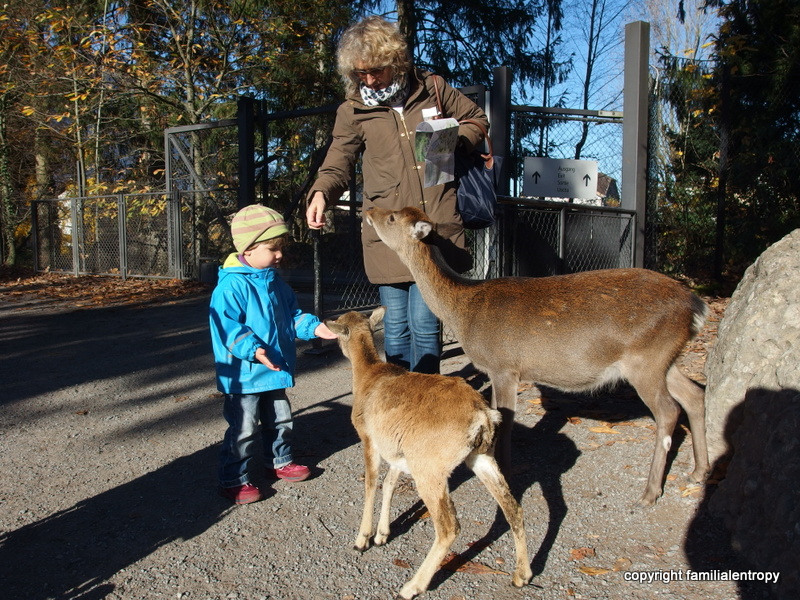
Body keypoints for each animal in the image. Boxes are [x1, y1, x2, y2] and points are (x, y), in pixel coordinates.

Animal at [326, 307, 533, 599]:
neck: (368, 376)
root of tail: (483, 417)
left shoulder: (369, 438)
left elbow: (371, 483)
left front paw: (362, 539)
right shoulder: (398, 450)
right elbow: (389, 483)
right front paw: (382, 534)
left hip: (430, 469)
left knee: (449, 526)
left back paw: (412, 586)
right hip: (482, 458)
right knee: (513, 508)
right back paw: (521, 576)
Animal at [364, 205, 711, 507]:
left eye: (392, 216)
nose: (369, 210)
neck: (463, 312)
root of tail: (696, 306)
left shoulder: (503, 366)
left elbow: (505, 421)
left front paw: (506, 473)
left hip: (645, 358)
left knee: (668, 410)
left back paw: (650, 493)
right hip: (665, 359)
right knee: (695, 394)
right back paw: (699, 471)